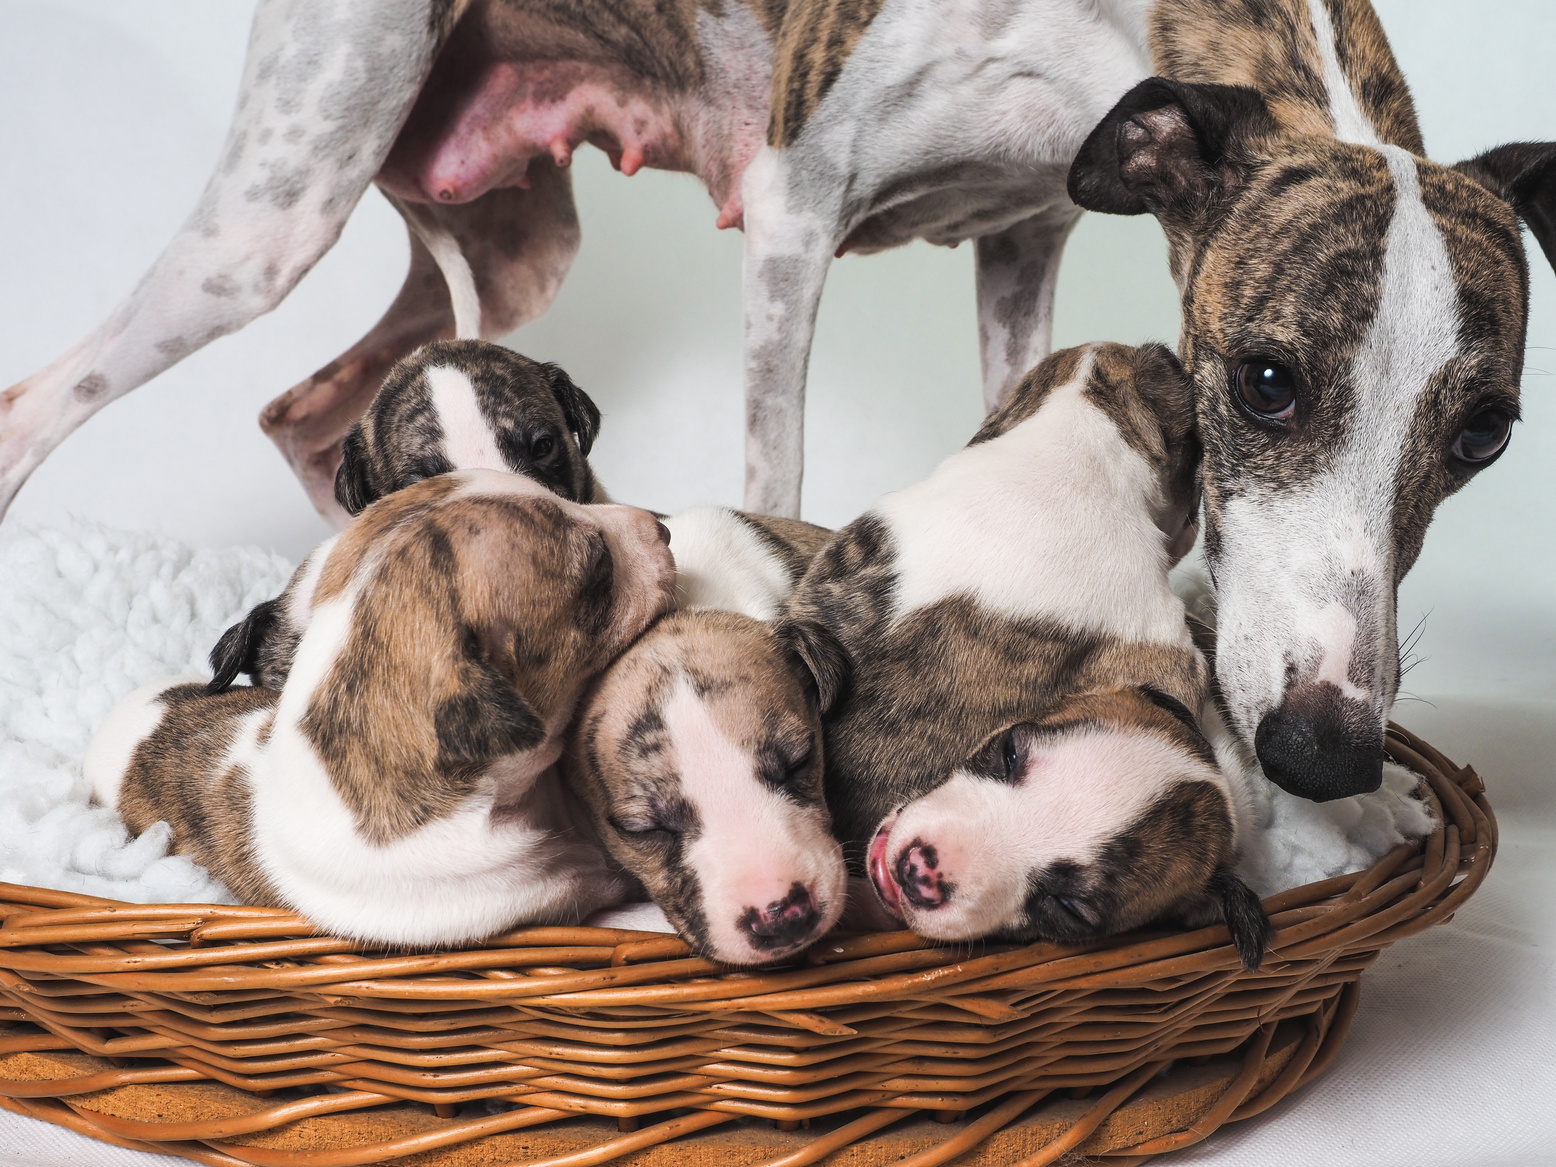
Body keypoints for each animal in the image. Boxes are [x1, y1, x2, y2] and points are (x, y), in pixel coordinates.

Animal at [3, 0, 1556, 802]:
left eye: (1484, 433)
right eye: (1266, 380)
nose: (1325, 755)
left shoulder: (1023, 241)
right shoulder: (795, 214)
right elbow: (778, 483)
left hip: (505, 251)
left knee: (303, 412)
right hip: (274, 211)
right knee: (38, 401)